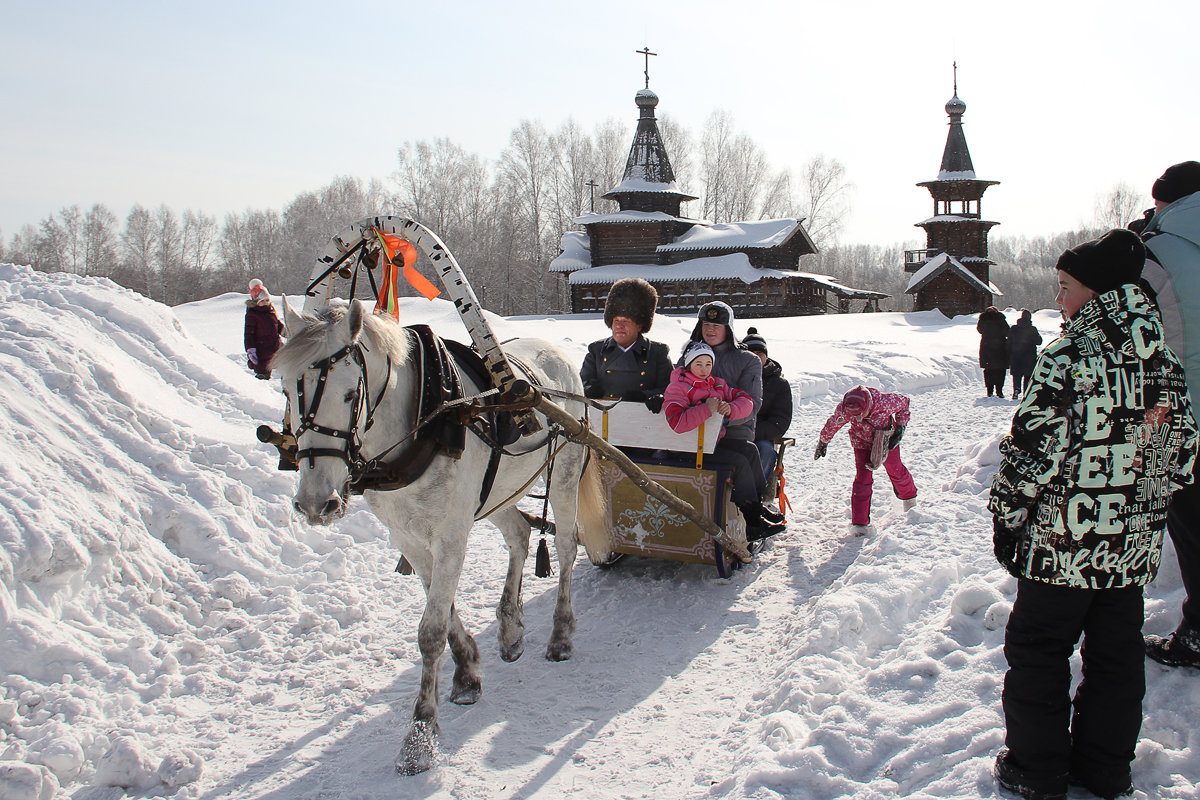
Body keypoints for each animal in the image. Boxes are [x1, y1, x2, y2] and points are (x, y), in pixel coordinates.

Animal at [274, 299, 604, 777]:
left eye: (350, 394)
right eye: (285, 391)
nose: (317, 503)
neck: (421, 422)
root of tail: (553, 353)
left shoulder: (450, 534)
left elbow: (431, 630)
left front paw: (420, 735)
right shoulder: (407, 536)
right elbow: (443, 611)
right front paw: (467, 672)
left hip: (563, 471)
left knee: (564, 548)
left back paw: (560, 634)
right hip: (499, 492)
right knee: (520, 535)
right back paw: (510, 628)